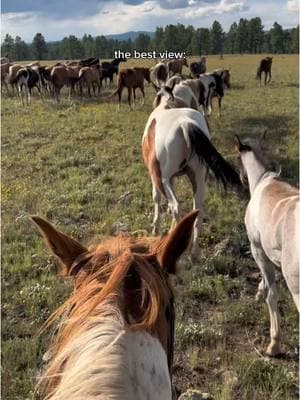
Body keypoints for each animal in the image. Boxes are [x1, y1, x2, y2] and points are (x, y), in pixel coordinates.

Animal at [142, 104, 243, 258]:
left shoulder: (156, 177)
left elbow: (156, 198)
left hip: (164, 180)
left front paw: (155, 229)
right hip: (198, 179)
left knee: (176, 207)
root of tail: (185, 124)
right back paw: (194, 253)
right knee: (197, 212)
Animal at [236, 134, 298, 356]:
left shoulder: (257, 249)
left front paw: (274, 344)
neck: (264, 180)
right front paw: (260, 290)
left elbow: (272, 295)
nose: (241, 178)